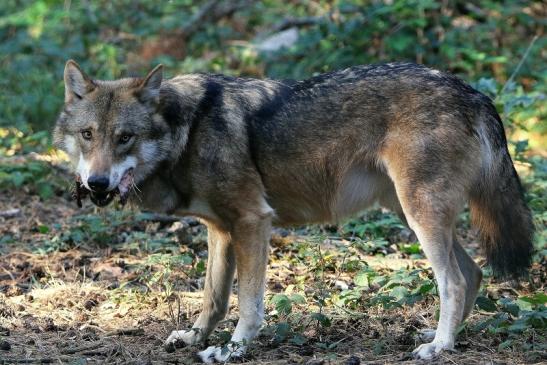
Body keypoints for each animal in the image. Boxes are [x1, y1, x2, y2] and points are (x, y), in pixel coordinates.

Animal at [54, 60, 536, 362]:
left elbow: (249, 304)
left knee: (453, 281)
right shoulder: (220, 231)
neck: (186, 130)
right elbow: (213, 298)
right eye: (87, 135)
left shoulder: (252, 221)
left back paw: (438, 348)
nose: (97, 183)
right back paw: (445, 339)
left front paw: (233, 350)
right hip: (408, 211)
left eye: (125, 138)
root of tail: (473, 92)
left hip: (419, 214)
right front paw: (193, 337)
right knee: (474, 272)